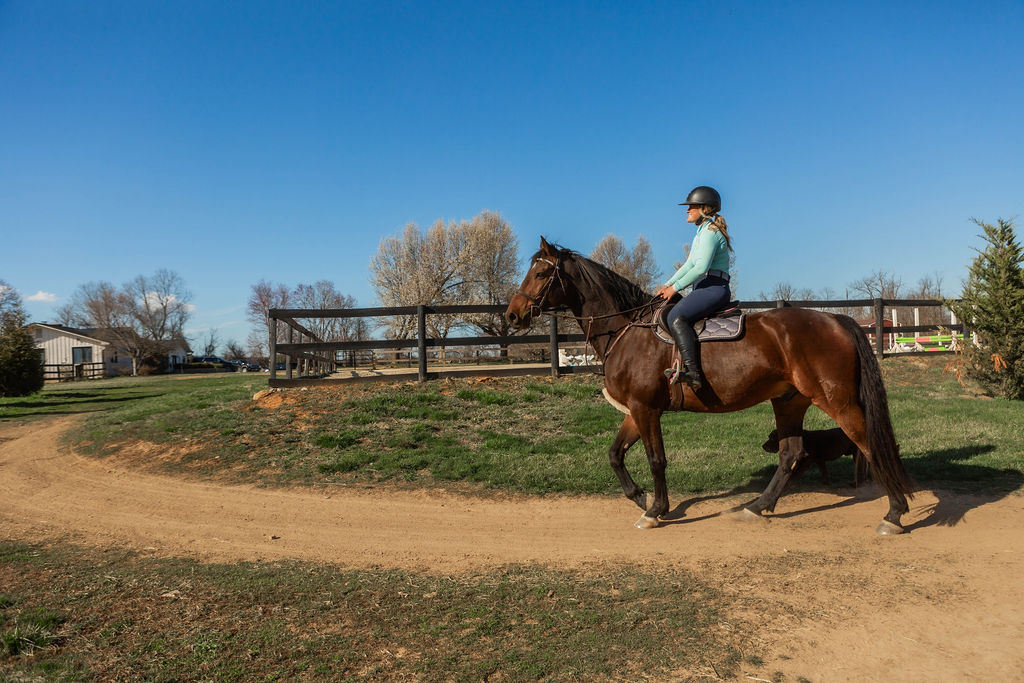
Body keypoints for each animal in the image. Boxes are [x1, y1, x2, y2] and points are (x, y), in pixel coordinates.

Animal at [504, 237, 915, 535]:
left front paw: (656, 510)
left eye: (540, 274)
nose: (512, 314)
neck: (627, 329)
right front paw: (641, 498)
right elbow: (615, 455)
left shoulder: (646, 409)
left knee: (868, 442)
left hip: (836, 401)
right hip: (789, 401)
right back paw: (756, 507)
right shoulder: (636, 410)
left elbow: (656, 460)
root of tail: (835, 319)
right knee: (791, 454)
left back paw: (894, 513)